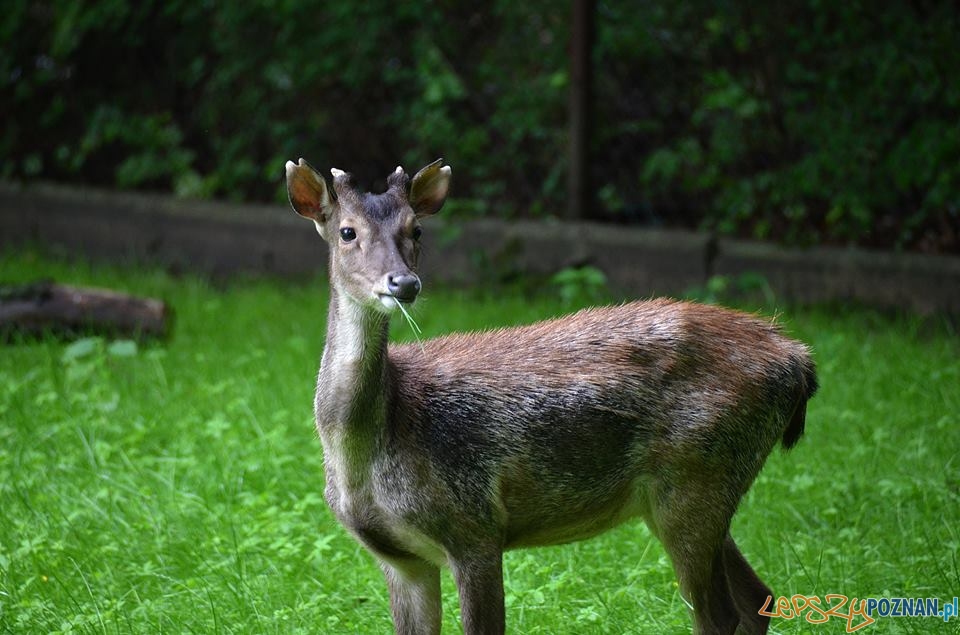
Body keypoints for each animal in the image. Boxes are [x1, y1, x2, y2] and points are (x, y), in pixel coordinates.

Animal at [284, 158, 816, 635]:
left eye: (416, 231)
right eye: (347, 232)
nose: (404, 283)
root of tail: (797, 358)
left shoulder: (475, 526)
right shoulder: (403, 559)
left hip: (695, 479)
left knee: (721, 616)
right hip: (696, 491)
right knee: (760, 599)